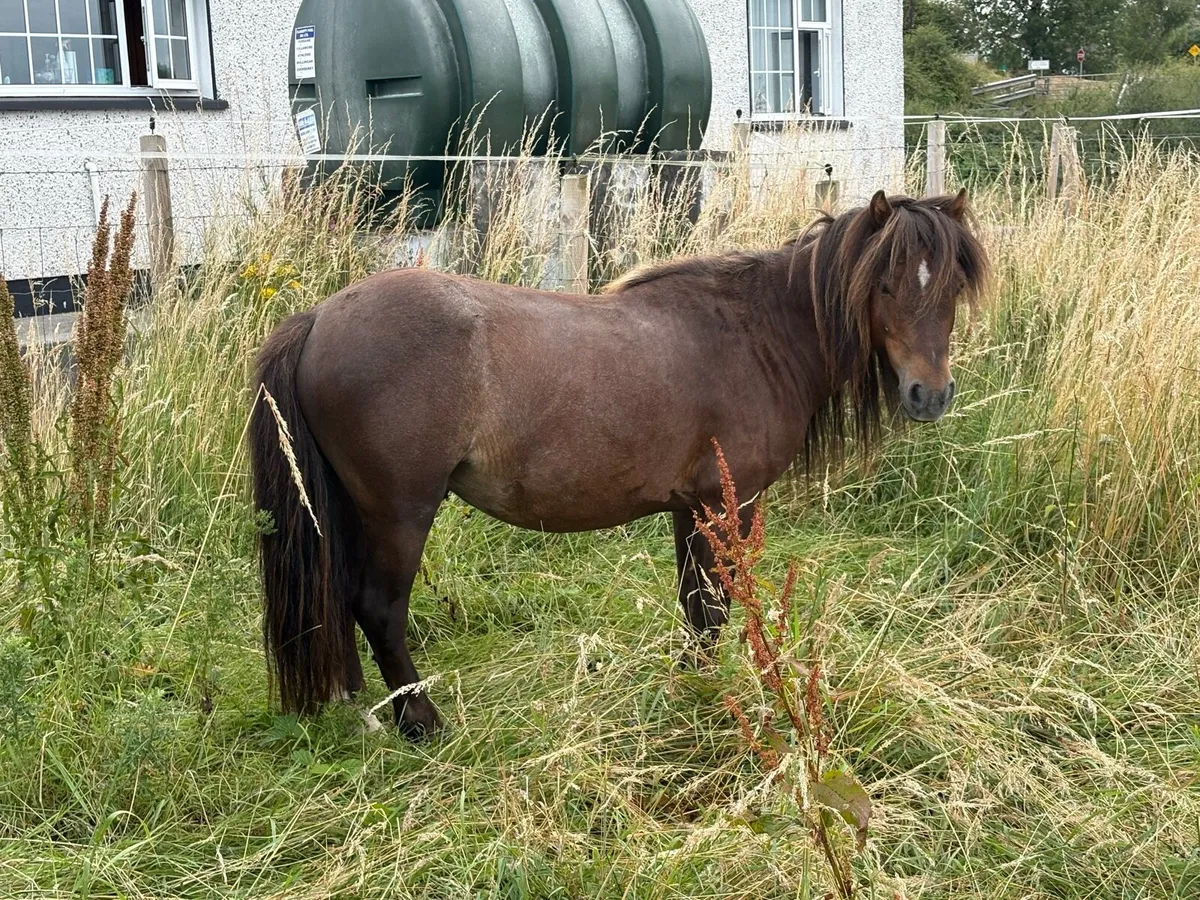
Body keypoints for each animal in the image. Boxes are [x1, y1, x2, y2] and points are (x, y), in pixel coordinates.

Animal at [248, 188, 989, 737]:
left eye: (952, 286)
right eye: (885, 283)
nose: (929, 394)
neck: (756, 334)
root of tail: (319, 317)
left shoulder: (690, 508)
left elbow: (696, 608)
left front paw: (691, 685)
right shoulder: (727, 503)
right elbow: (713, 608)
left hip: (348, 511)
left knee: (339, 599)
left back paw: (363, 709)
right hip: (400, 511)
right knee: (377, 608)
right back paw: (420, 720)